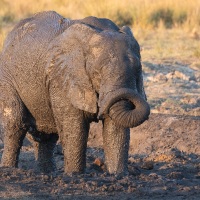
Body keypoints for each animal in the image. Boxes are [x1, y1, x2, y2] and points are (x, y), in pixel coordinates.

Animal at [0, 10, 150, 175]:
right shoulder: (61, 77)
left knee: (46, 135)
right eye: (96, 74)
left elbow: (115, 128)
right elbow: (75, 128)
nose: (99, 110)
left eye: (138, 70)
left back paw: (47, 173)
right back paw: (9, 170)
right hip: (7, 78)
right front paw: (74, 175)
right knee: (15, 123)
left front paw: (118, 175)